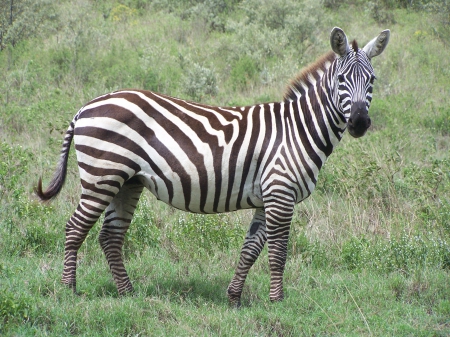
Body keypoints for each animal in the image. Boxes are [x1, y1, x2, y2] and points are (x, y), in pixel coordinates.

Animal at [35, 26, 388, 304]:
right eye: (341, 79)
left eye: (372, 80)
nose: (359, 122)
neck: (297, 130)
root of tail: (85, 107)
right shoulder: (280, 193)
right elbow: (278, 252)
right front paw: (278, 302)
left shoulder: (267, 198)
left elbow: (250, 250)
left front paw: (234, 298)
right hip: (102, 175)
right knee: (74, 228)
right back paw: (69, 290)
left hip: (127, 181)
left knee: (110, 236)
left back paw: (128, 293)